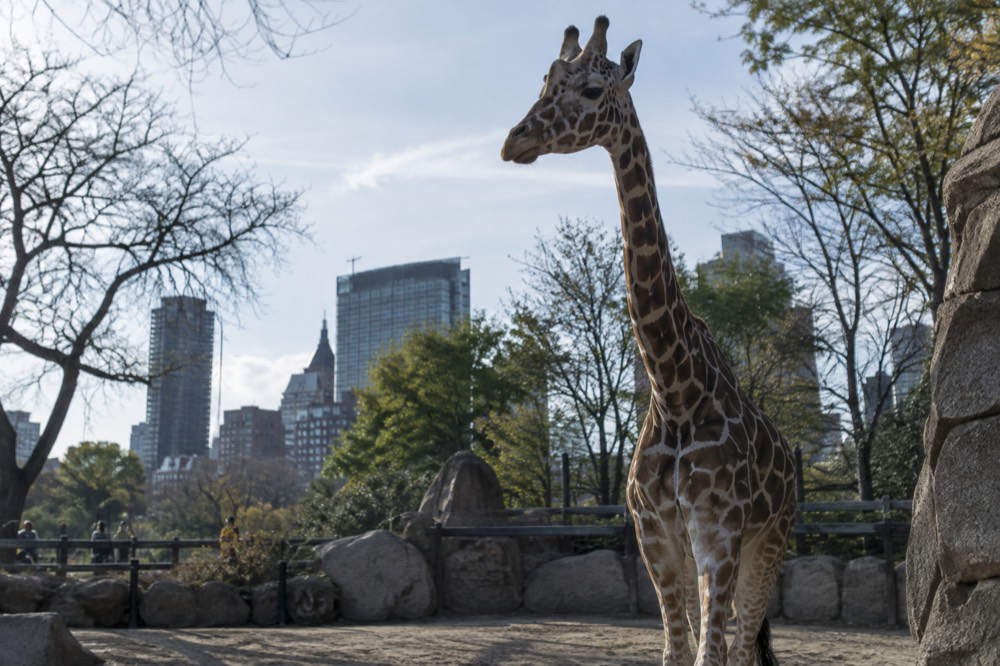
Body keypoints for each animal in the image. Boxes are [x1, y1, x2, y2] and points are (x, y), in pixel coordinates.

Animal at [501, 17, 796, 666]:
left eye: (591, 90)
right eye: (543, 83)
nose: (514, 140)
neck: (673, 387)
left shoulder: (719, 535)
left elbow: (711, 654)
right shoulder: (657, 537)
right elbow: (675, 652)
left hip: (771, 538)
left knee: (743, 644)